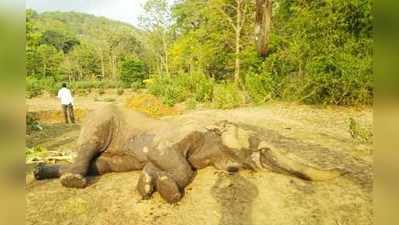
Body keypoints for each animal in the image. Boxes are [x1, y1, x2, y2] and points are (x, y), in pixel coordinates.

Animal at [32, 104, 342, 203]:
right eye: (260, 146)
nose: (343, 172)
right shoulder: (174, 137)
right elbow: (176, 162)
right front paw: (167, 192)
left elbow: (160, 165)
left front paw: (148, 186)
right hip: (101, 117)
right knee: (89, 147)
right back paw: (72, 181)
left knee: (102, 165)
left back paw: (38, 173)